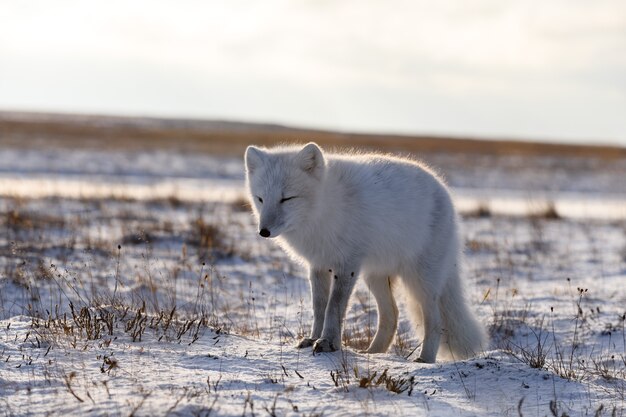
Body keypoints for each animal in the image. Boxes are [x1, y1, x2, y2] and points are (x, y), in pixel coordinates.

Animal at [243, 142, 482, 360]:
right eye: (260, 198)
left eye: (287, 198)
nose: (263, 231)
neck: (324, 210)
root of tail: (444, 190)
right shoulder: (318, 265)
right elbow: (319, 307)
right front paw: (313, 338)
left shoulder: (347, 264)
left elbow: (334, 307)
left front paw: (328, 342)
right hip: (375, 277)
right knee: (391, 316)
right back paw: (372, 353)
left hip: (421, 280)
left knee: (435, 322)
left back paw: (424, 359)